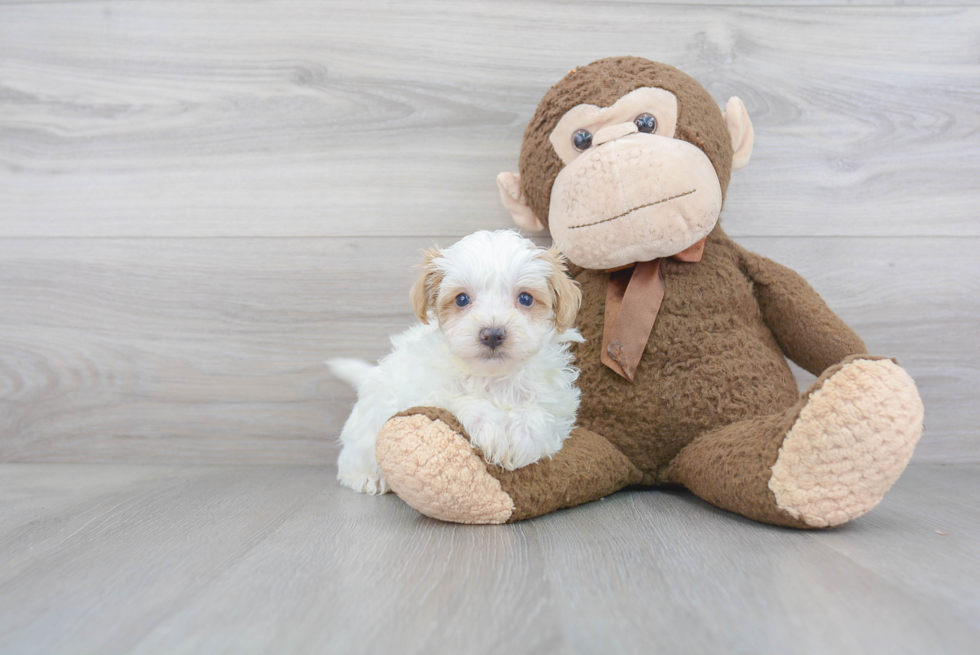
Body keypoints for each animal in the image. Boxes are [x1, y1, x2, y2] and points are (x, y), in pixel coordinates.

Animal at [334, 229, 584, 492]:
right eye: (462, 299)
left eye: (526, 298)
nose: (492, 334)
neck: (493, 377)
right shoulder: (423, 391)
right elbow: (461, 399)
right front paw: (493, 429)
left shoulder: (555, 401)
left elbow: (539, 415)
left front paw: (522, 439)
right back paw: (367, 476)